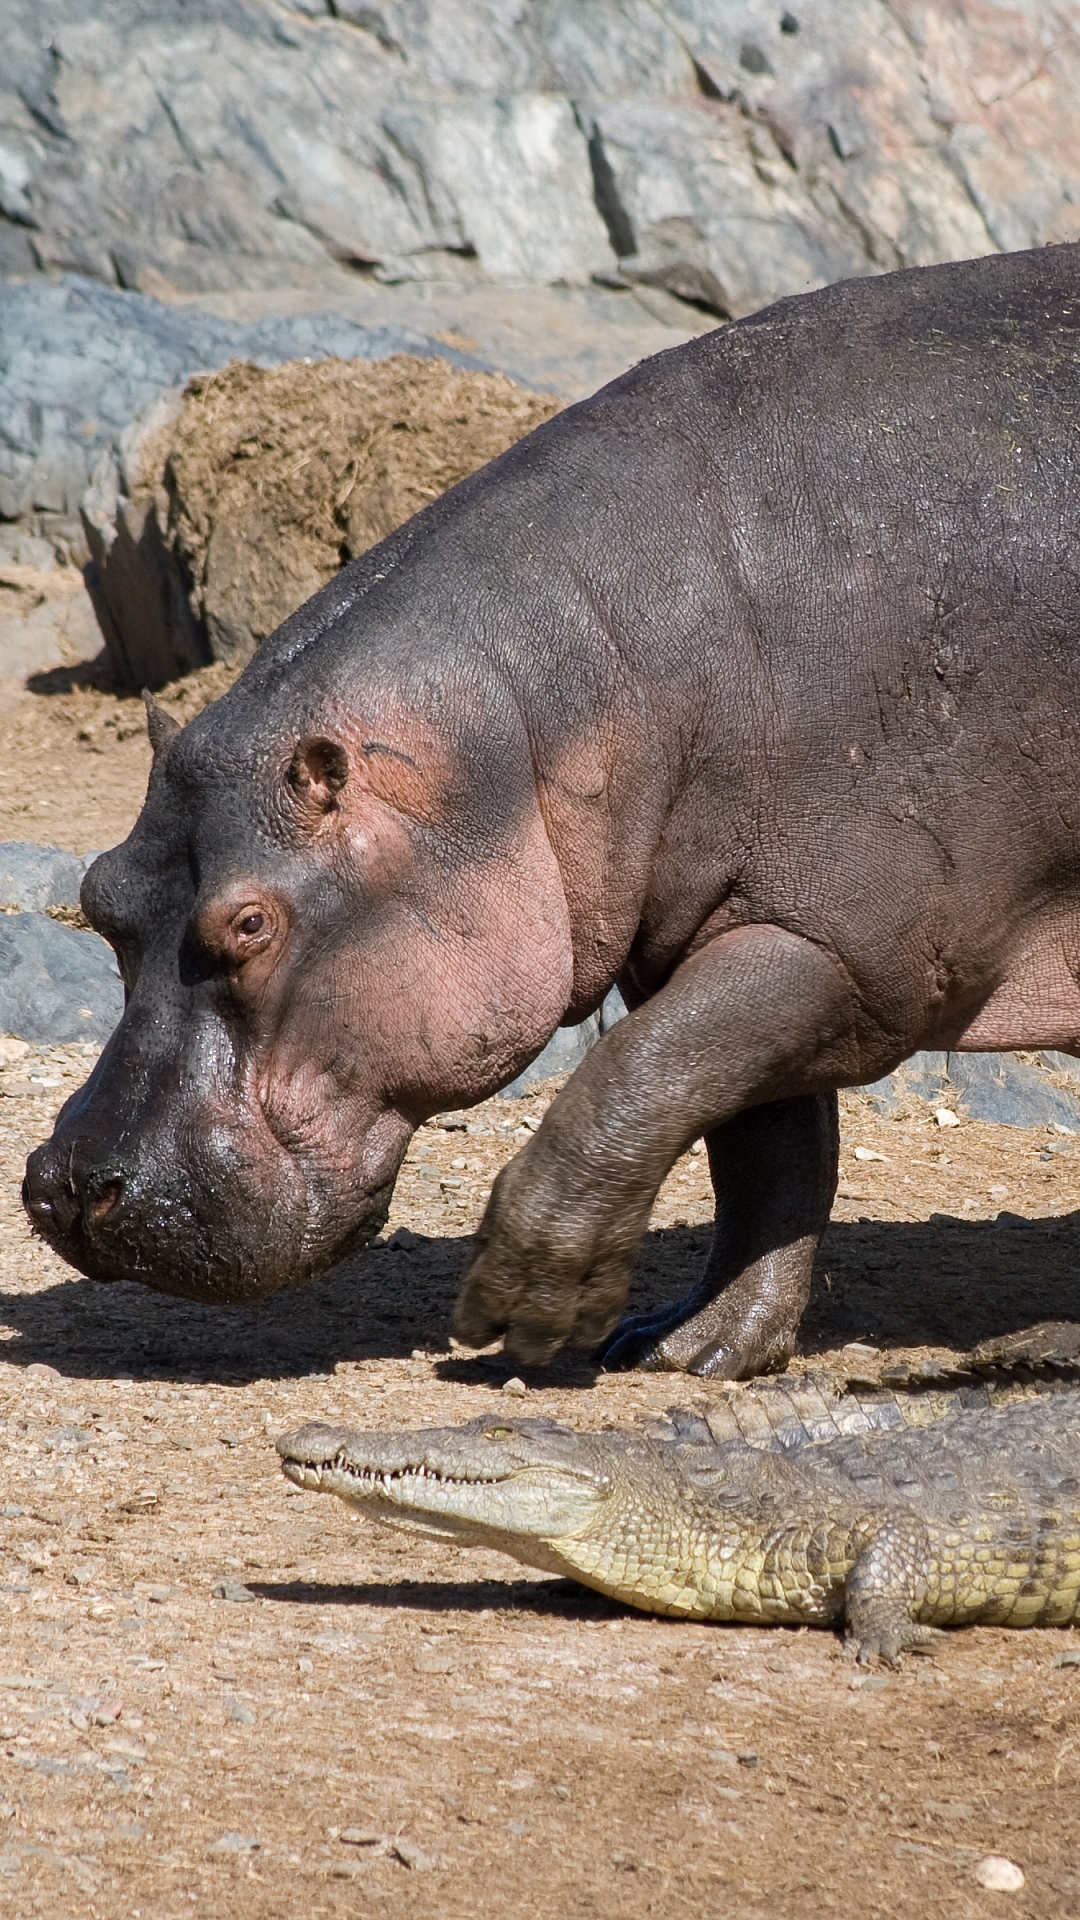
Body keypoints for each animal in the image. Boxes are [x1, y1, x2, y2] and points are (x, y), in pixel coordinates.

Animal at [23, 242, 1080, 1377]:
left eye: (252, 923)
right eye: (99, 893)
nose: (69, 1188)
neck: (532, 728)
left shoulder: (846, 943)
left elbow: (638, 1073)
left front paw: (527, 1308)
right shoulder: (738, 931)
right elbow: (760, 1140)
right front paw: (687, 1347)